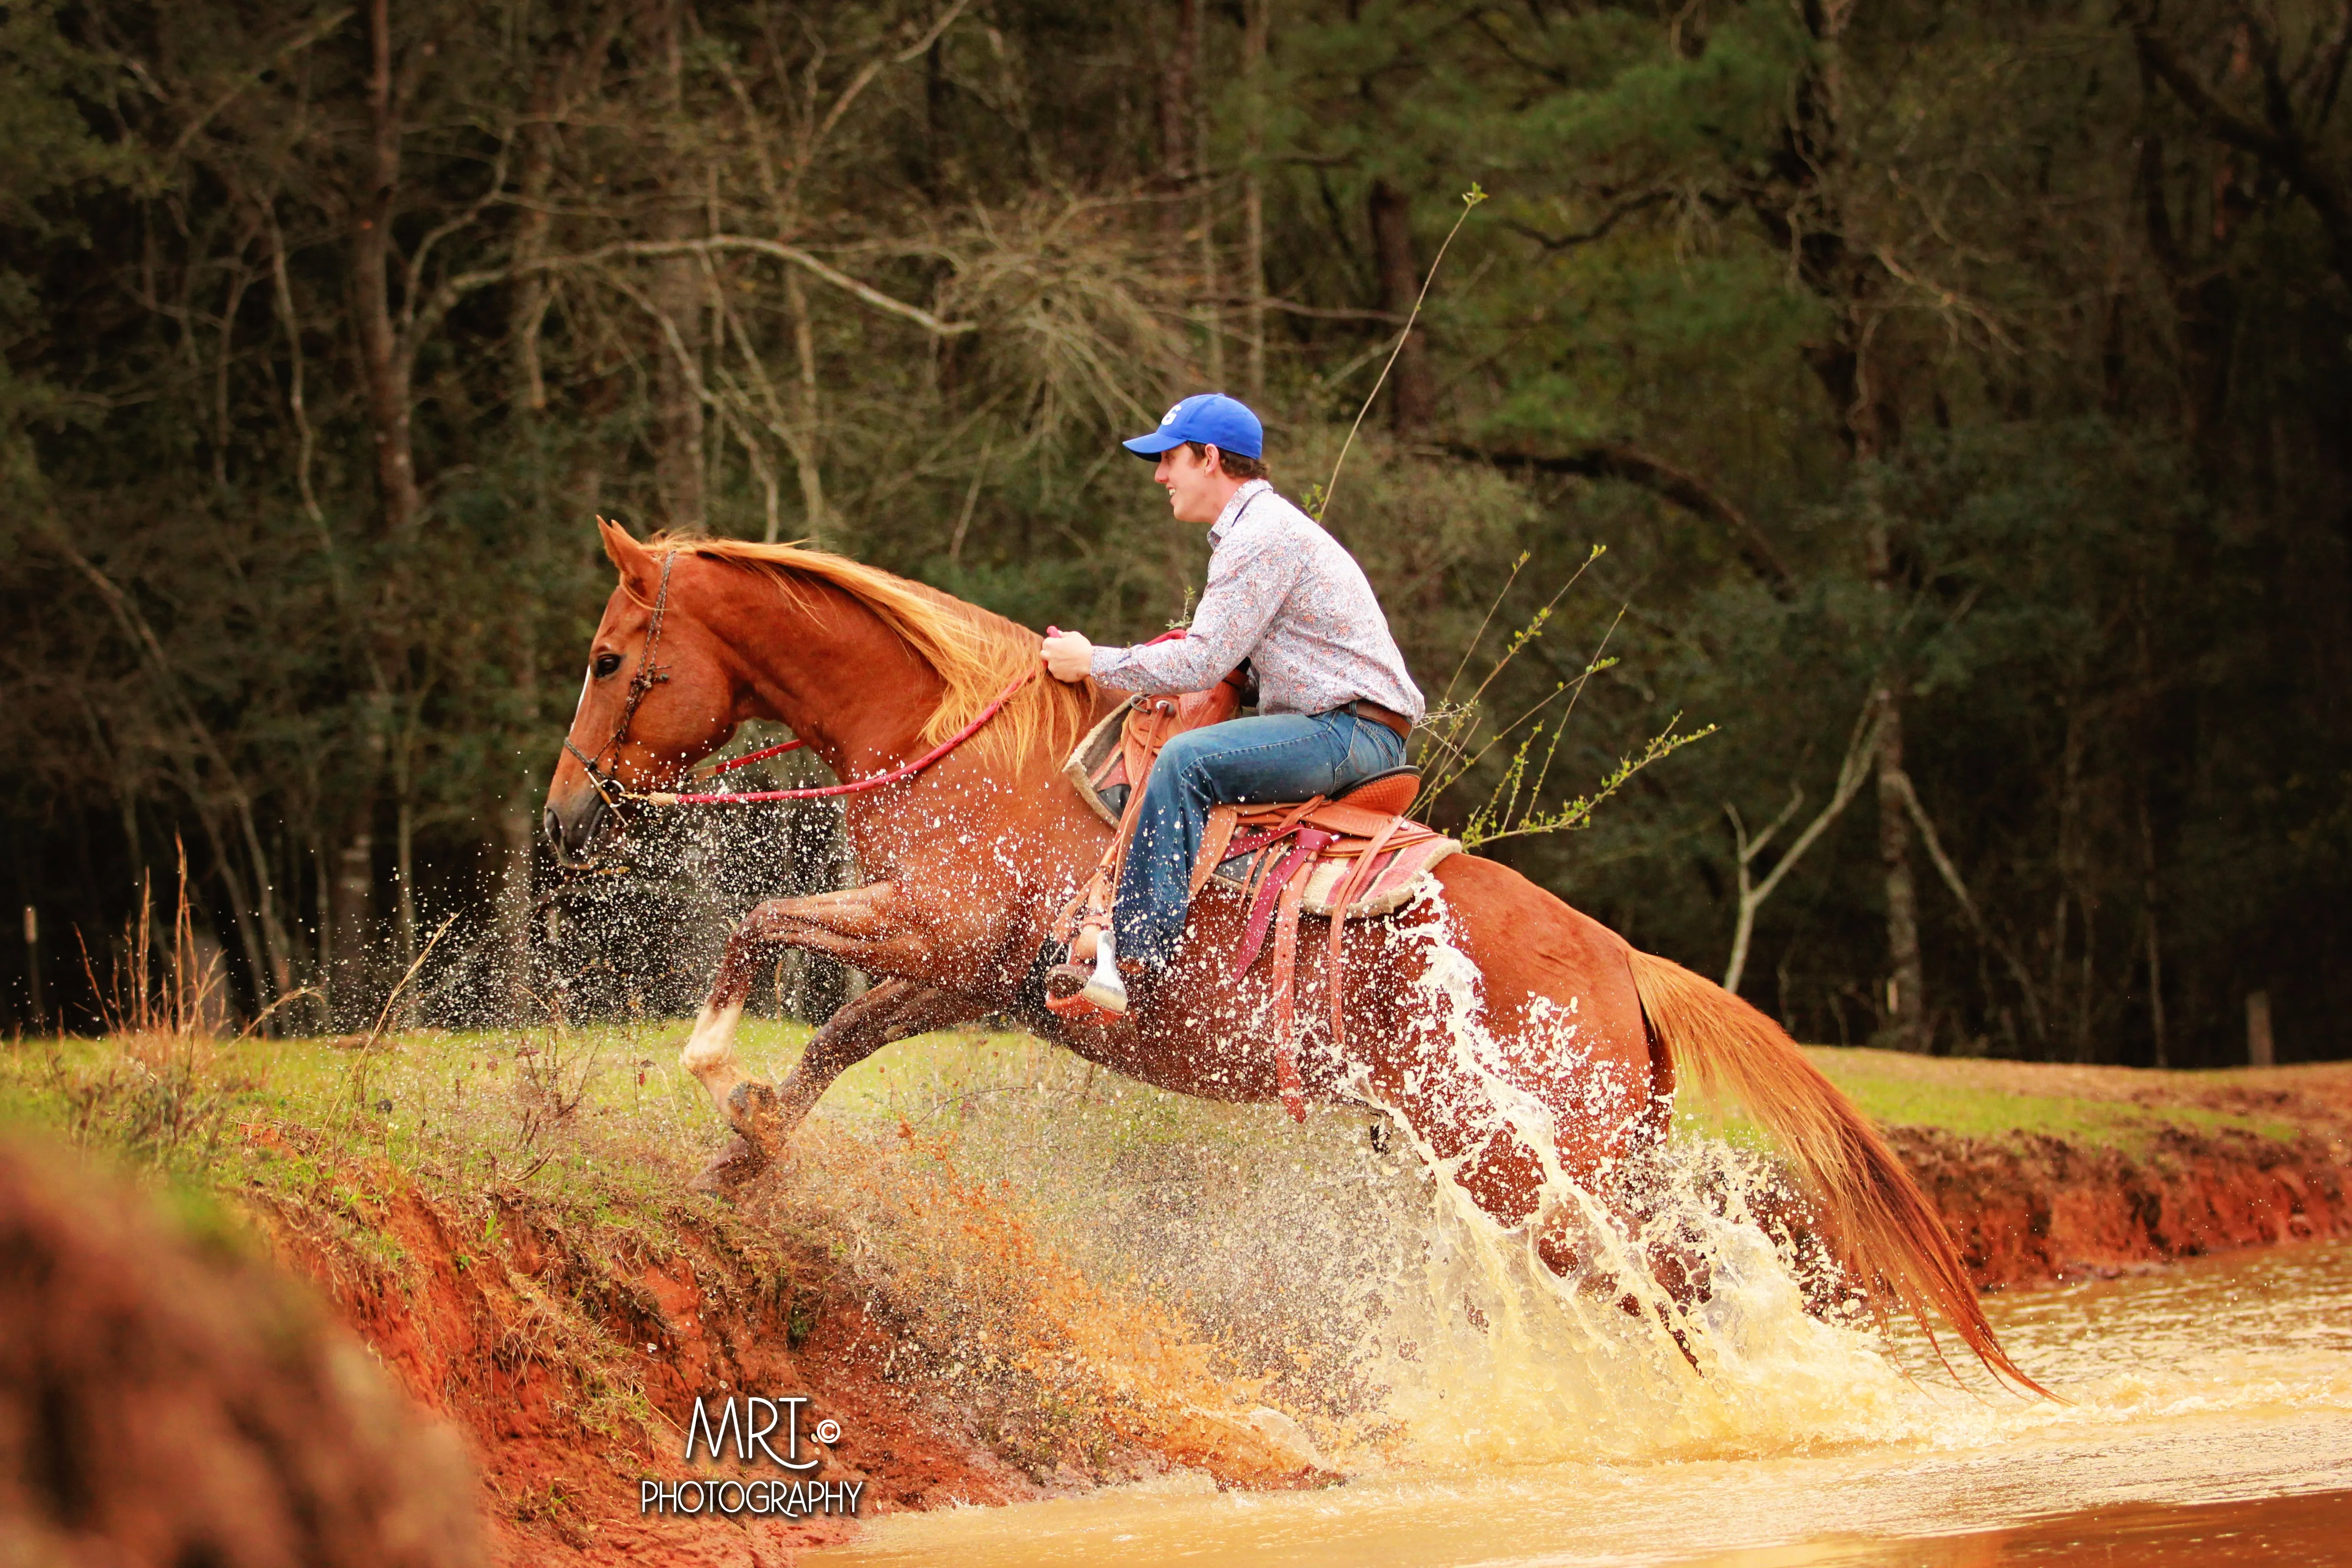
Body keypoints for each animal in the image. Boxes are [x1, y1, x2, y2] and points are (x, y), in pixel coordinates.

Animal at [541, 524, 2032, 1382]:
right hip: (1568, 1161)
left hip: (1526, 1166)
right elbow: (840, 1037)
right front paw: (745, 1150)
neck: (948, 736)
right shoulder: (964, 974)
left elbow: (757, 932)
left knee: (1660, 1289)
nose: (563, 814)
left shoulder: (937, 924)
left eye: (611, 658)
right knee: (1682, 1280)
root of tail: (1624, 963)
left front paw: (712, 1069)